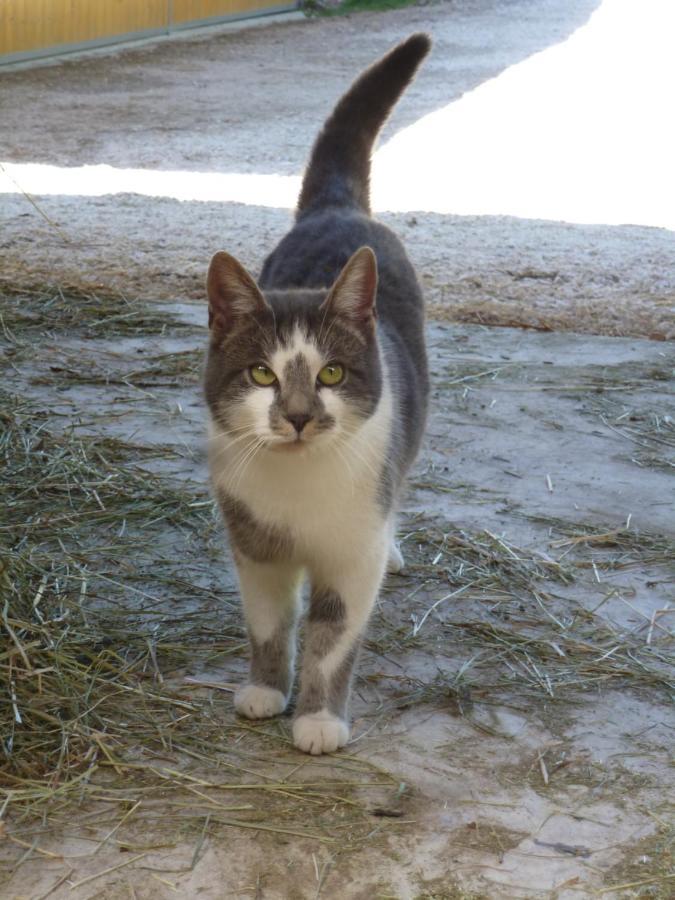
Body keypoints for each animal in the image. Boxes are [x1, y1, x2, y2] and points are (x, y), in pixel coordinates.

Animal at [203, 33, 430, 752]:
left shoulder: (352, 559)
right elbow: (271, 622)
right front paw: (266, 689)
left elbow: (332, 638)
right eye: (261, 374)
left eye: (331, 374)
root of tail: (339, 210)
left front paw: (320, 719)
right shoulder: (254, 547)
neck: (300, 488)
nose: (299, 417)